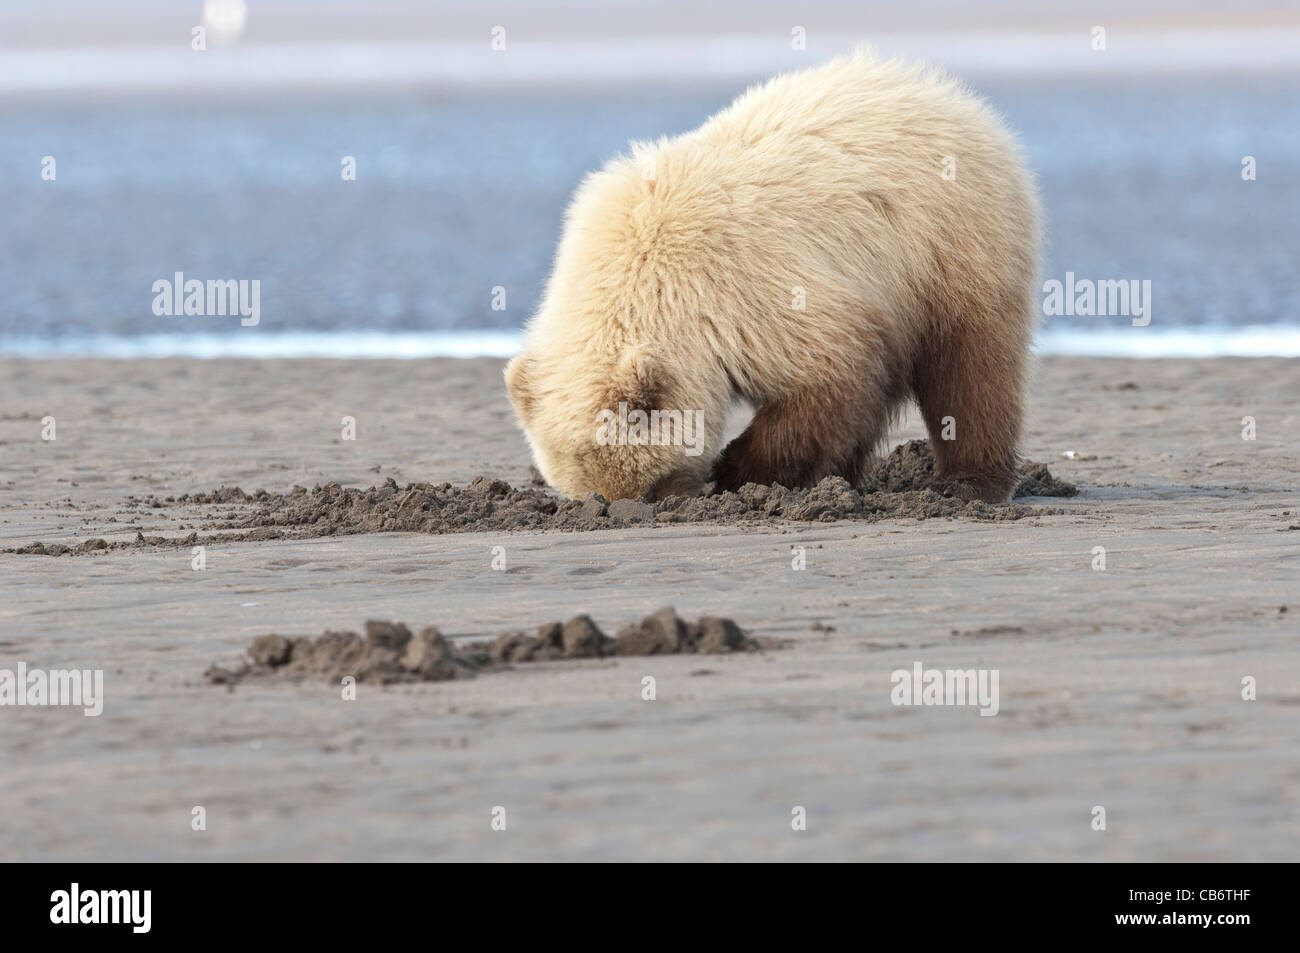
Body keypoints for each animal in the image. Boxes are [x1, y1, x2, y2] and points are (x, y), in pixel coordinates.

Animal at [505, 50, 1040, 503]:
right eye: (586, 492)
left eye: (653, 484)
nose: (623, 508)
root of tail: (952, 96)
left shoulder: (739, 287)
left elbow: (833, 366)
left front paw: (738, 470)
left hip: (947, 240)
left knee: (970, 365)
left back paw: (970, 481)